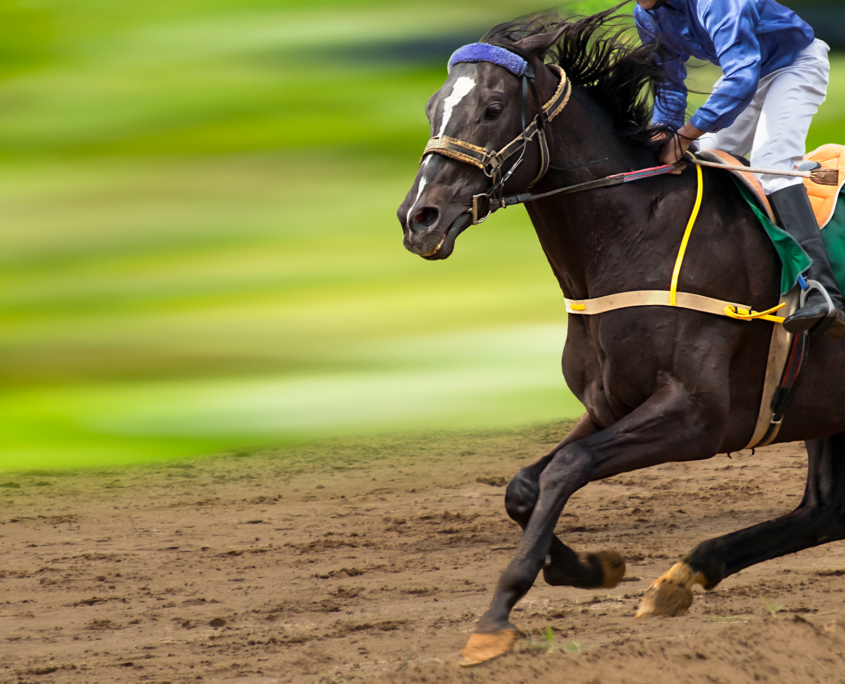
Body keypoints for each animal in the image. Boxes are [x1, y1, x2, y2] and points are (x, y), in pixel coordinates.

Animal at [396, 6, 845, 667]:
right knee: (824, 510)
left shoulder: (699, 416)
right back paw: (681, 577)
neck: (634, 236)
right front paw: (590, 567)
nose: (418, 219)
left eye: (493, 107)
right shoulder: (610, 403)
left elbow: (566, 468)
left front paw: (497, 616)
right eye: (433, 107)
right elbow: (524, 486)